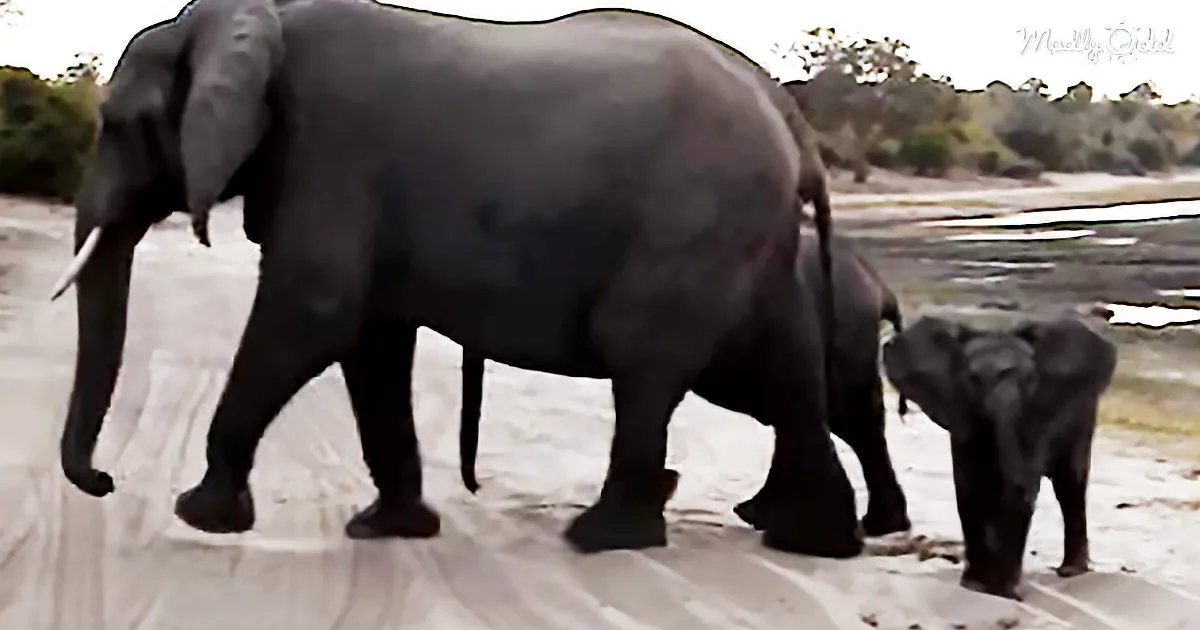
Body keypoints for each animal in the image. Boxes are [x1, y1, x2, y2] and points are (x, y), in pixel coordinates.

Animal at [51, 0, 863, 557]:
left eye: (117, 124)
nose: (105, 482)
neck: (249, 18)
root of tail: (792, 123)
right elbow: (371, 343)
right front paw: (389, 529)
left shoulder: (332, 150)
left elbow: (316, 311)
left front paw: (202, 515)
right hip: (754, 236)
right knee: (786, 366)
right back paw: (815, 543)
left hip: (698, 221)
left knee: (644, 351)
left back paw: (599, 538)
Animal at [882, 315, 1117, 600]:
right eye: (973, 379)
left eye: (1030, 379)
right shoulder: (961, 412)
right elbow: (969, 488)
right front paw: (974, 587)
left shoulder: (1035, 413)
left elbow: (1021, 485)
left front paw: (1003, 592)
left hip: (1083, 417)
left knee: (1070, 485)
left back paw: (1071, 572)